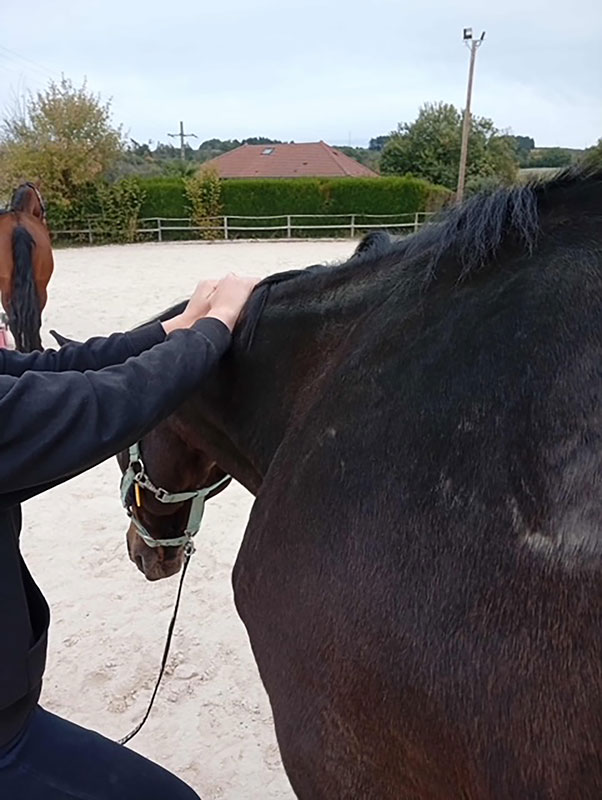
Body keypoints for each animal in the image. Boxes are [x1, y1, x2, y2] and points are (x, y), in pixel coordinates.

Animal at [0, 182, 54, 351]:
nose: (44, 219)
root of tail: (18, 225)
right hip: (41, 287)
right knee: (33, 317)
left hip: (6, 288)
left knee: (13, 319)